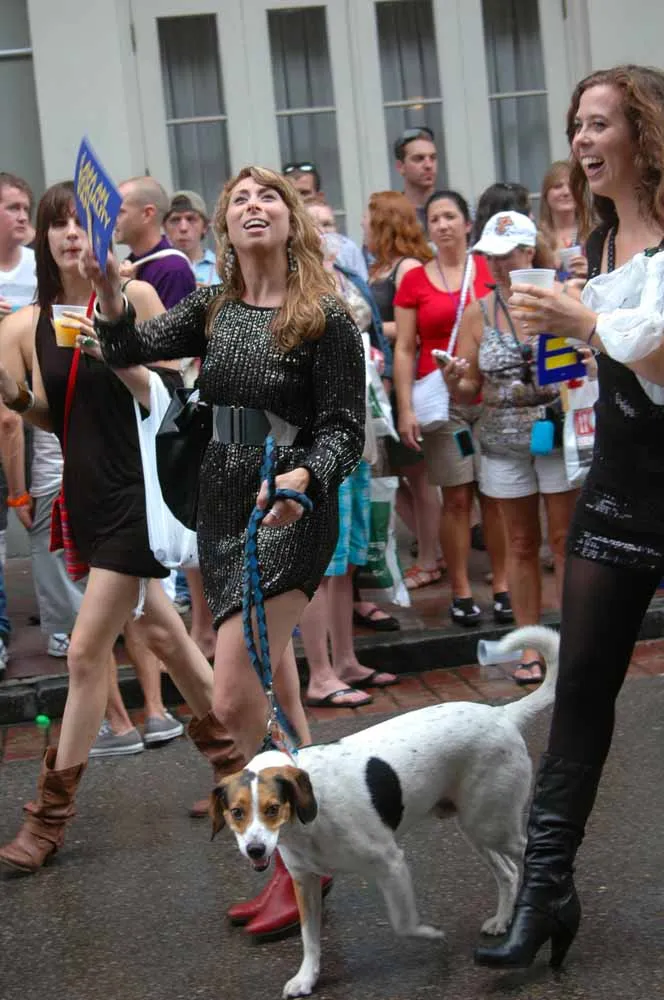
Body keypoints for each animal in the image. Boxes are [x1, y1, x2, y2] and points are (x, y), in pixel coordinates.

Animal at [210, 625, 559, 998]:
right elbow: (310, 940)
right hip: (475, 825)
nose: (255, 849)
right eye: (236, 812)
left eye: (273, 808)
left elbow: (404, 923)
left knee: (530, 854)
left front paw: (431, 935)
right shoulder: (304, 882)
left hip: (493, 825)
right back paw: (503, 920)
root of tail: (503, 715)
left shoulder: (391, 863)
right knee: (508, 872)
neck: (307, 820)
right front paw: (307, 977)